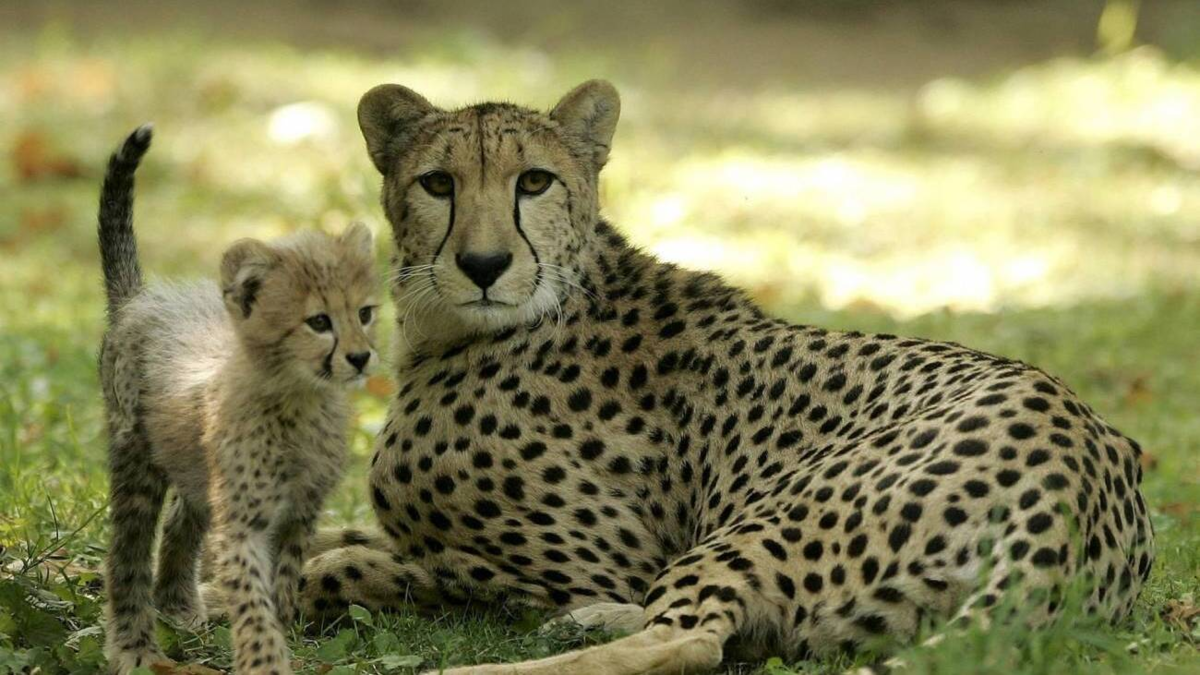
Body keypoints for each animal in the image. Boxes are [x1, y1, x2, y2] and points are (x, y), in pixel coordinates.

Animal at [96, 125, 381, 675]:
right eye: (319, 322)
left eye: (365, 313)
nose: (360, 357)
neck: (299, 401)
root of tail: (142, 299)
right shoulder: (247, 522)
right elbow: (252, 599)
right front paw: (266, 659)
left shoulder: (297, 515)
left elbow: (282, 586)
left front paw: (285, 633)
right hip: (135, 458)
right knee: (126, 553)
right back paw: (135, 645)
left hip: (197, 472)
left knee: (182, 521)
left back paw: (178, 606)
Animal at [291, 80, 1154, 675]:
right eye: (438, 183)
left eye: (533, 181)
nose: (482, 263)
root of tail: (1079, 467)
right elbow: (332, 535)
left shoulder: (583, 561)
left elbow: (362, 565)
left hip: (768, 515)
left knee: (691, 639)